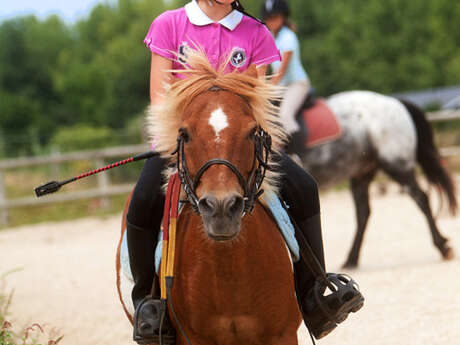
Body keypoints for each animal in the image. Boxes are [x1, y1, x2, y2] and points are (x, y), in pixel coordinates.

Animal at [116, 51, 302, 344]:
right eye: (184, 133)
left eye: (252, 131)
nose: (221, 208)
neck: (228, 271)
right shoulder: (193, 338)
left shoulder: (282, 335)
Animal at [292, 90, 458, 268]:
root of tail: (395, 101)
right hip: (362, 172)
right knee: (363, 213)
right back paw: (351, 259)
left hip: (396, 165)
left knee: (421, 198)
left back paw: (442, 246)